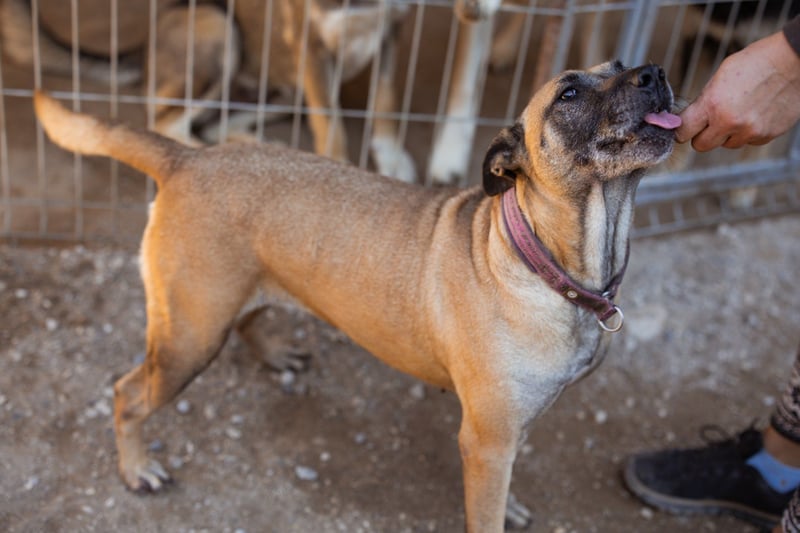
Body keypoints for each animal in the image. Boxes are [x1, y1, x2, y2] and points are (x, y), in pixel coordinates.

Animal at [33, 59, 679, 531]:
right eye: (567, 93)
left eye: (618, 65)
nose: (654, 72)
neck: (546, 260)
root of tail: (187, 157)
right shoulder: (487, 441)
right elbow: (485, 513)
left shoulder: (513, 431)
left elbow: (504, 491)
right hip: (186, 341)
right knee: (126, 394)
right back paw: (137, 467)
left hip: (226, 304)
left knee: (247, 319)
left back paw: (274, 352)